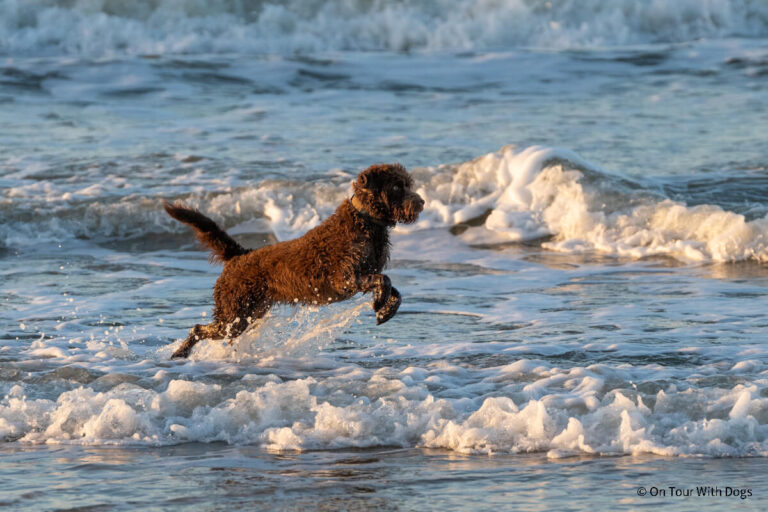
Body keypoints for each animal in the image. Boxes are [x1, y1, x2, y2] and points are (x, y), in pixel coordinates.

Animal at [164, 166, 424, 358]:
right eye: (396, 186)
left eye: (407, 184)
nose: (421, 202)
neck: (366, 220)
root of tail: (239, 255)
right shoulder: (345, 278)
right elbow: (384, 280)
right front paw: (379, 303)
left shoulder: (364, 273)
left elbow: (395, 290)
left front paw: (386, 311)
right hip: (233, 313)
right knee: (198, 329)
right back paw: (180, 353)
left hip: (248, 313)